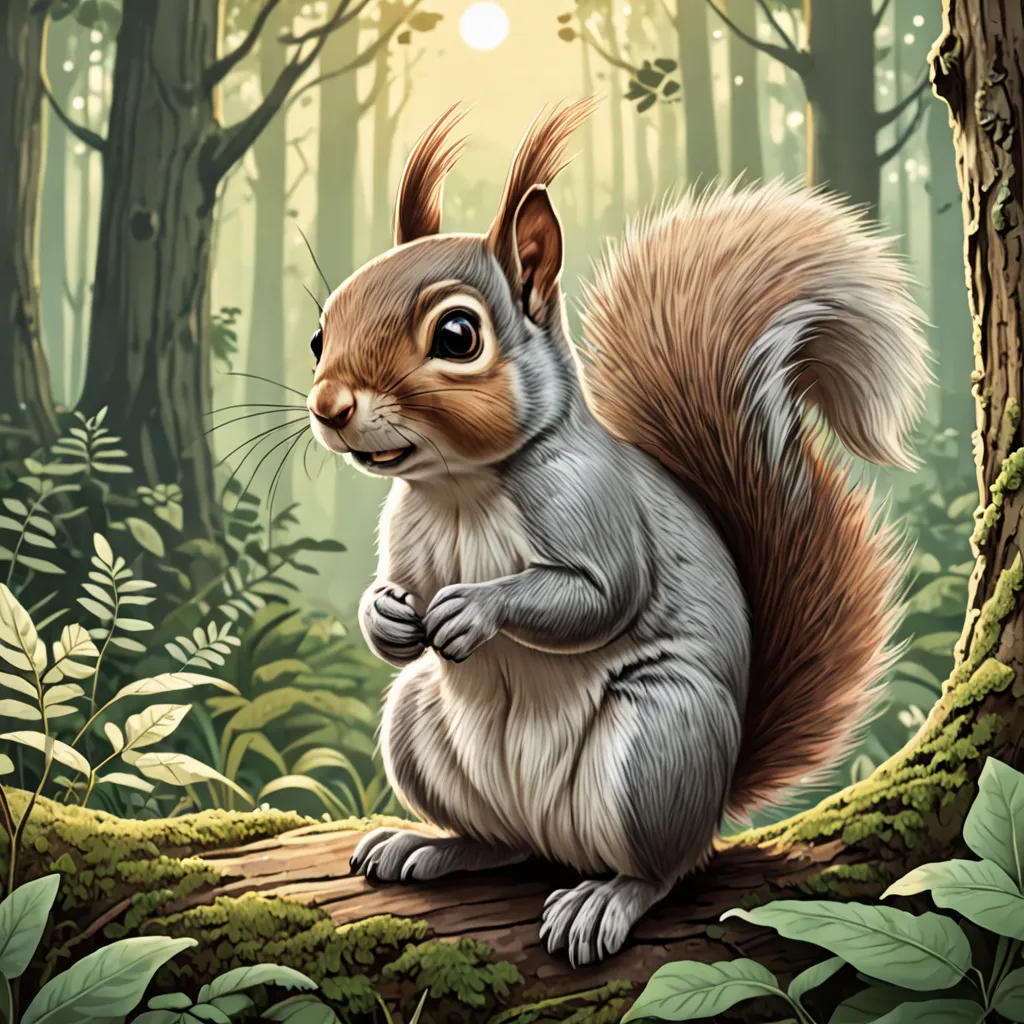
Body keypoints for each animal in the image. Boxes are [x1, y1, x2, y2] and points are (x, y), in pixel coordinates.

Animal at [305, 99, 929, 967]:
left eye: (457, 336)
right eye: (319, 333)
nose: (328, 406)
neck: (463, 486)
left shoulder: (597, 508)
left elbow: (598, 597)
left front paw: (475, 608)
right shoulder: (405, 529)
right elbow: (395, 597)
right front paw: (385, 616)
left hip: (653, 747)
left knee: (662, 869)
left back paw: (604, 899)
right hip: (418, 726)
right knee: (502, 841)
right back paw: (429, 845)